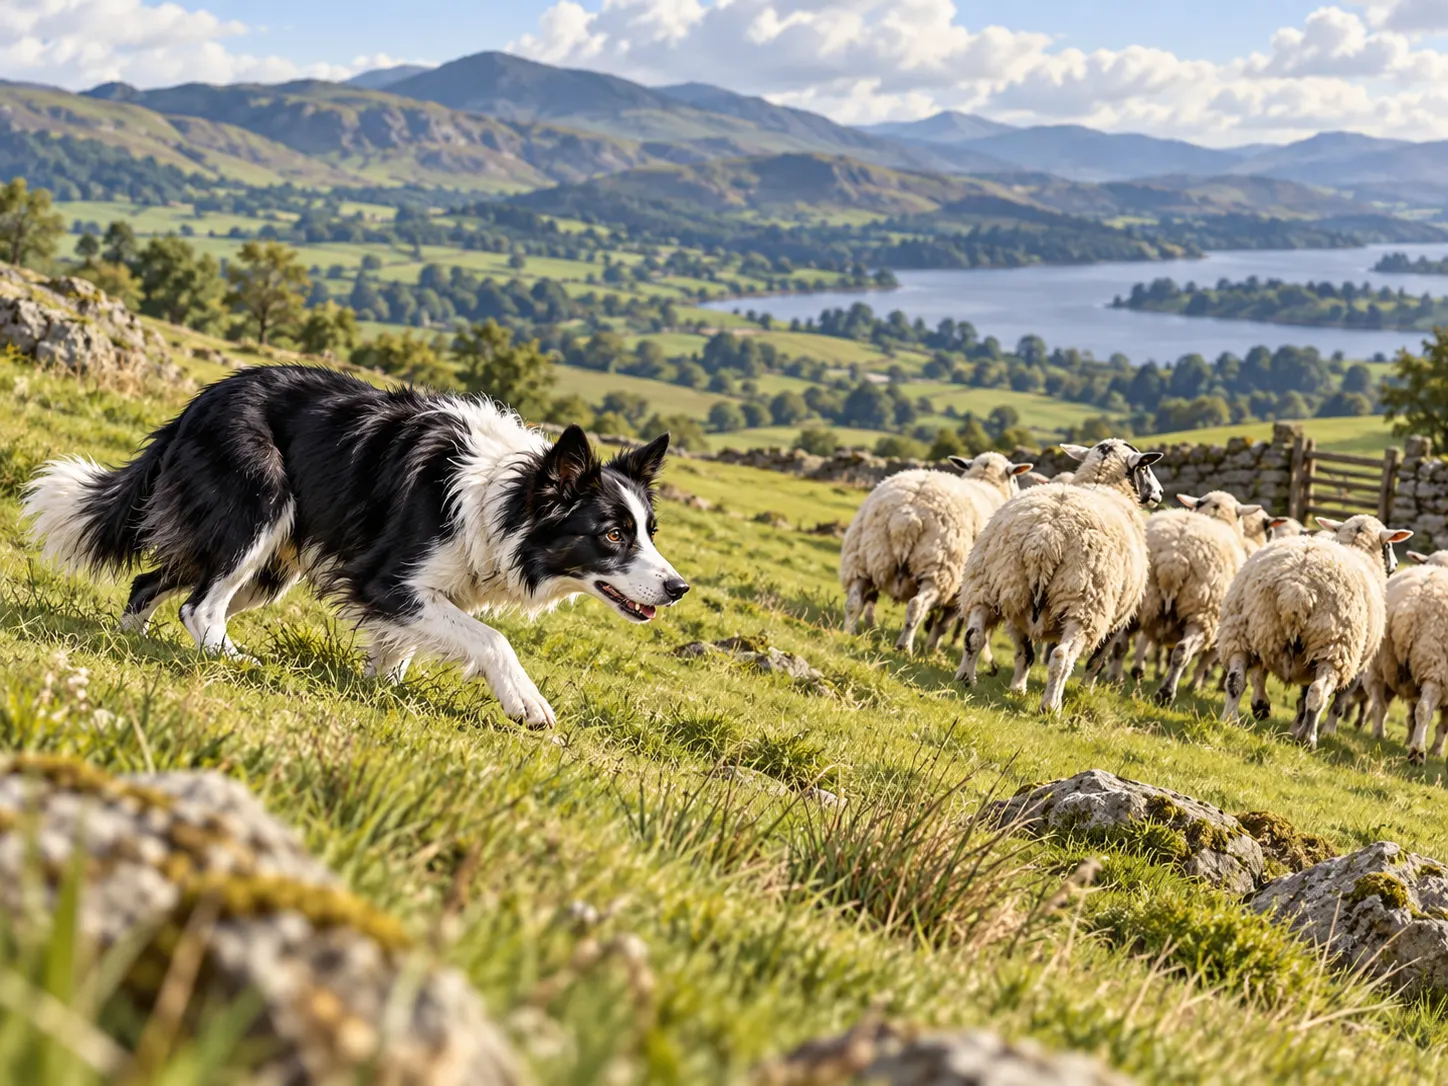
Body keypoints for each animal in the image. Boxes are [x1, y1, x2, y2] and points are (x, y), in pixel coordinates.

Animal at [840, 452, 1033, 655]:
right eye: (1014, 478)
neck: (986, 483)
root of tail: (907, 515)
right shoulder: (961, 593)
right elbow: (943, 625)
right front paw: (932, 649)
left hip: (861, 559)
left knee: (853, 602)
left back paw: (847, 633)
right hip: (938, 569)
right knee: (916, 606)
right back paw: (904, 647)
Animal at [954, 439, 1164, 713]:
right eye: (1145, 467)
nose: (1159, 493)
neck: (1103, 484)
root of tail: (1046, 534)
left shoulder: (1018, 612)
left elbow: (1025, 654)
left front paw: (1017, 688)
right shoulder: (1119, 618)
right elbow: (1096, 662)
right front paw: (1086, 691)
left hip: (993, 585)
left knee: (975, 636)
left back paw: (967, 679)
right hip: (1085, 602)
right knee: (1062, 656)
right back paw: (1051, 706)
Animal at [1132, 490, 1262, 706]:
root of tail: (1174, 558)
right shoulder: (1220, 637)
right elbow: (1204, 663)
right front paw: (1194, 686)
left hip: (1142, 597)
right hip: (1203, 612)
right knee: (1182, 651)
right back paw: (1166, 693)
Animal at [1218, 514, 1413, 749]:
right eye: (1389, 544)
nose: (1395, 564)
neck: (1359, 550)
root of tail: (1297, 587)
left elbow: (1271, 683)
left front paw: (1272, 713)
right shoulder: (1357, 668)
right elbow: (1335, 704)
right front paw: (1323, 731)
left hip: (1242, 629)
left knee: (1236, 679)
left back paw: (1231, 719)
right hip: (1335, 646)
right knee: (1318, 692)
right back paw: (1308, 738)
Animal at [1363, 549, 1448, 763]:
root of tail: (1412, 604)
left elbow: (1411, 717)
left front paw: (1407, 740)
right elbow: (1443, 725)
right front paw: (1436, 751)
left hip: (1380, 661)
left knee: (1379, 705)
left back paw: (1379, 735)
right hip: (1436, 666)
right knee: (1424, 709)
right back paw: (1418, 753)